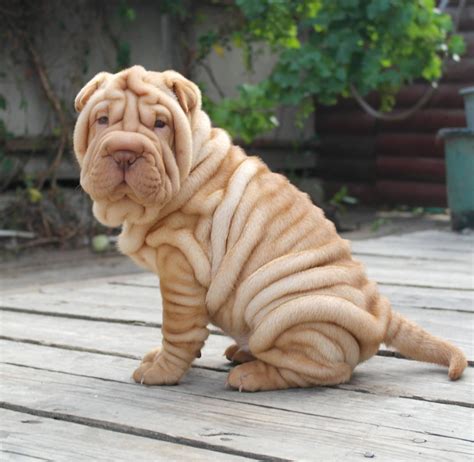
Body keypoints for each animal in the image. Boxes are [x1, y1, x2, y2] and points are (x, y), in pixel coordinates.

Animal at [73, 65, 466, 390]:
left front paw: (161, 371)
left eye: (160, 124)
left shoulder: (180, 268)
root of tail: (380, 311)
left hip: (284, 311)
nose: (125, 152)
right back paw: (243, 354)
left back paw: (251, 374)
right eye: (102, 119)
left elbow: (177, 330)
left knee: (326, 370)